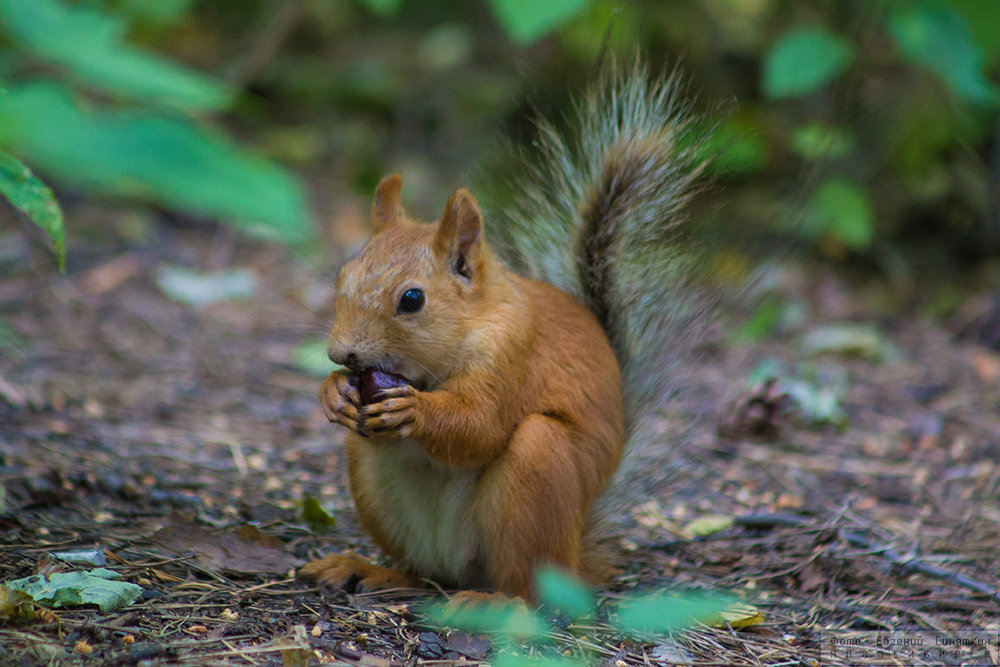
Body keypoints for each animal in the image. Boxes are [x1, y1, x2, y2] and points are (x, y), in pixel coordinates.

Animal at [300, 58, 708, 600]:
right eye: (343, 277)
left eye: (412, 299)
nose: (341, 354)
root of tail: (576, 559)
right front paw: (332, 392)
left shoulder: (513, 351)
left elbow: (481, 426)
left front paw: (417, 410)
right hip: (379, 494)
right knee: (421, 571)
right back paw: (369, 569)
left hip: (539, 472)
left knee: (527, 588)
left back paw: (488, 602)